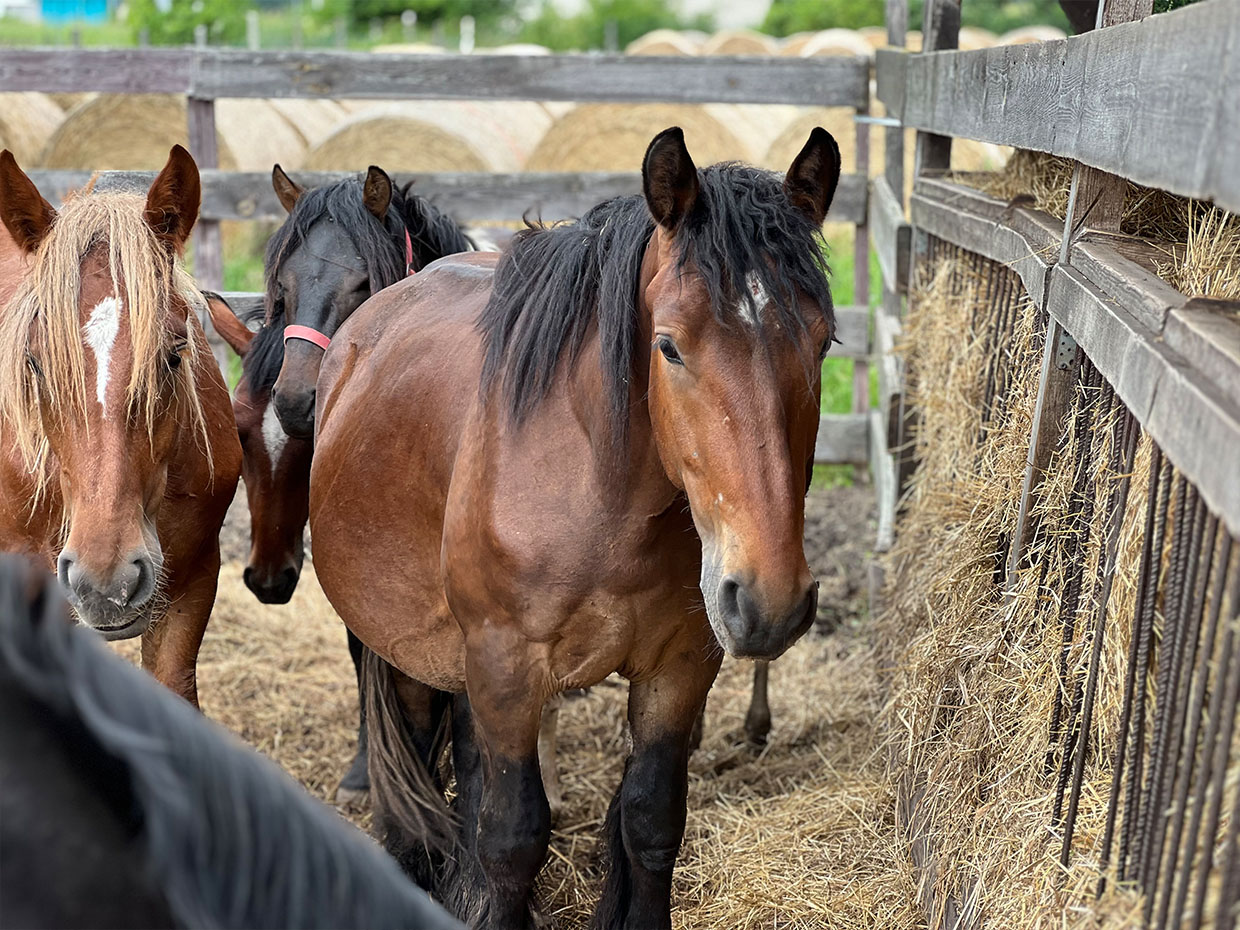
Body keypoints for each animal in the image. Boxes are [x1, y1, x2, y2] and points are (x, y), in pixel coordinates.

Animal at [310, 125, 843, 930]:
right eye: (669, 345)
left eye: (824, 342)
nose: (770, 600)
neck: (603, 496)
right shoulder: (505, 666)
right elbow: (513, 838)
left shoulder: (679, 667)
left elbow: (651, 821)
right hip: (404, 651)